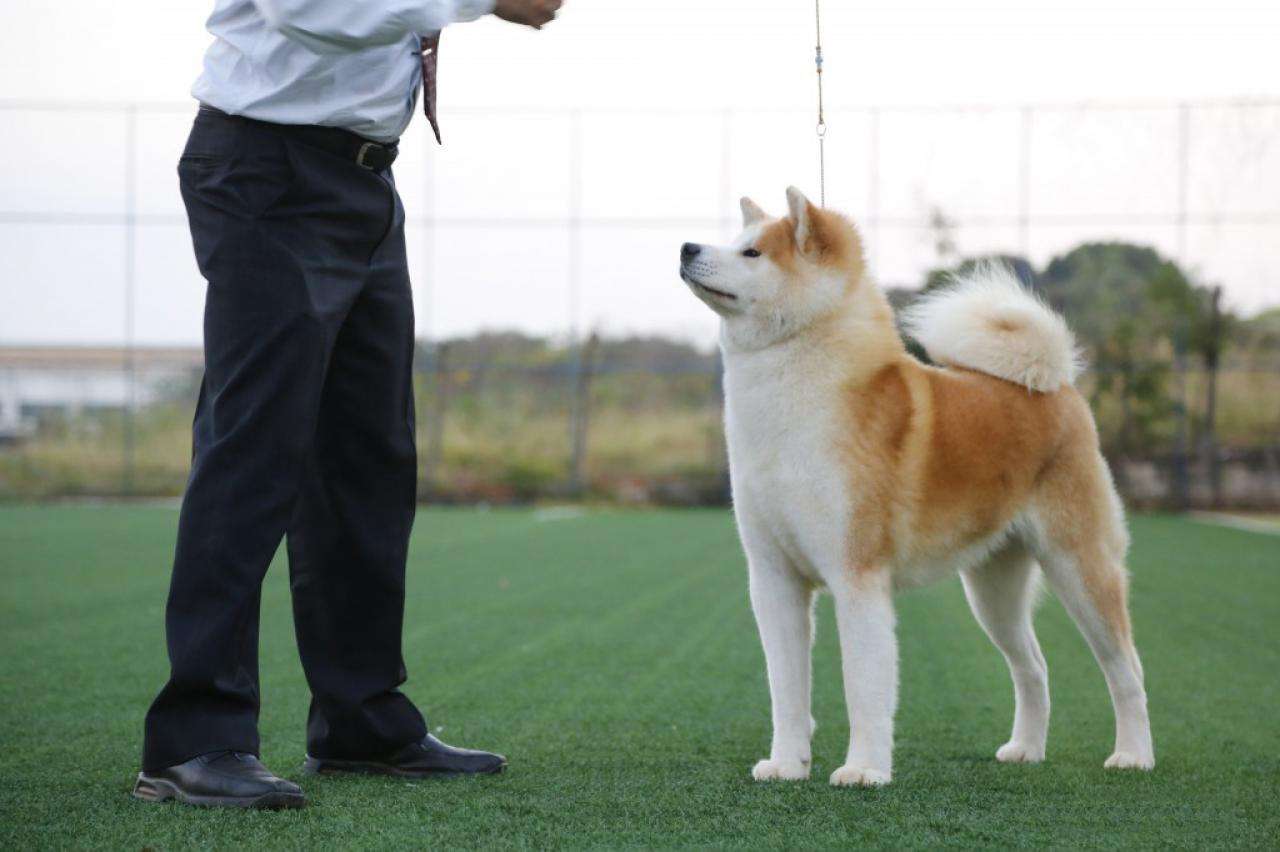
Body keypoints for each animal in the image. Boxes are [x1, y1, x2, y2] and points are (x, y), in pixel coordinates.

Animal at [680, 185, 1162, 782]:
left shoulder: (856, 576)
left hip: (1080, 566)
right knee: (1034, 667)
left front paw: (864, 771)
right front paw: (787, 764)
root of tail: (1059, 388)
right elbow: (786, 690)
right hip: (993, 592)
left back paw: (1134, 755)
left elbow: (863, 687)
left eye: (752, 253)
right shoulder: (774, 578)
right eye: (735, 240)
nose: (687, 248)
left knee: (1126, 670)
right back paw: (1026, 748)